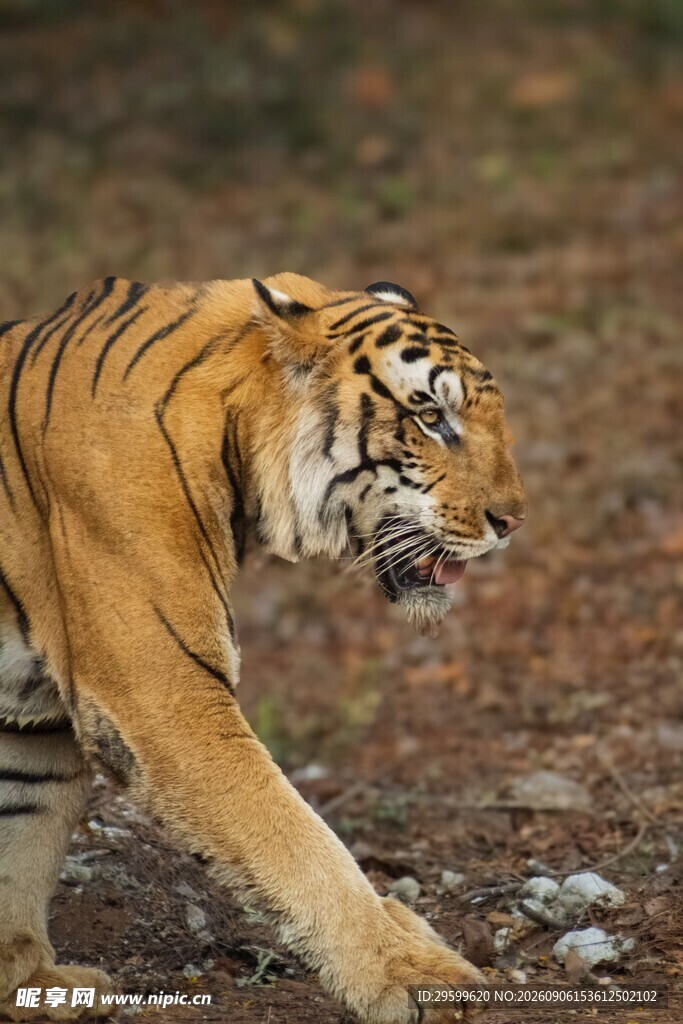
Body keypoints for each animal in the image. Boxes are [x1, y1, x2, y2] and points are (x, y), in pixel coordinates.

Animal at [0, 273, 526, 1023]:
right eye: (430, 417)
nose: (512, 521)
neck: (231, 443)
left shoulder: (34, 714)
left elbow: (21, 834)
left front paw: (30, 982)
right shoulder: (168, 697)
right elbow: (297, 841)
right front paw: (410, 972)